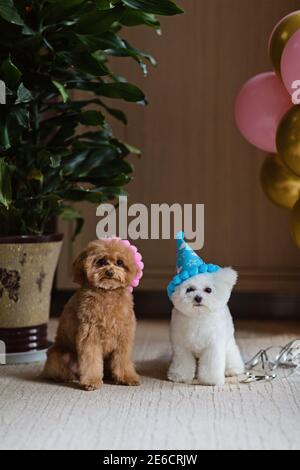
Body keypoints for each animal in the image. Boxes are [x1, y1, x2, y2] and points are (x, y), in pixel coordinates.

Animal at [43, 239, 142, 390]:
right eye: (101, 261)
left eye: (119, 262)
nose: (110, 272)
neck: (107, 293)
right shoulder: (90, 336)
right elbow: (91, 361)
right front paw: (91, 381)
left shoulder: (123, 337)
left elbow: (123, 360)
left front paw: (127, 378)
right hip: (59, 357)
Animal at [166, 233, 244, 388]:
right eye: (189, 289)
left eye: (208, 290)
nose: (198, 298)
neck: (199, 317)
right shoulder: (182, 347)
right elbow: (183, 363)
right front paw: (179, 376)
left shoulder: (213, 347)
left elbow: (211, 365)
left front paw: (210, 380)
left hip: (228, 345)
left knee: (232, 355)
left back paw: (232, 370)